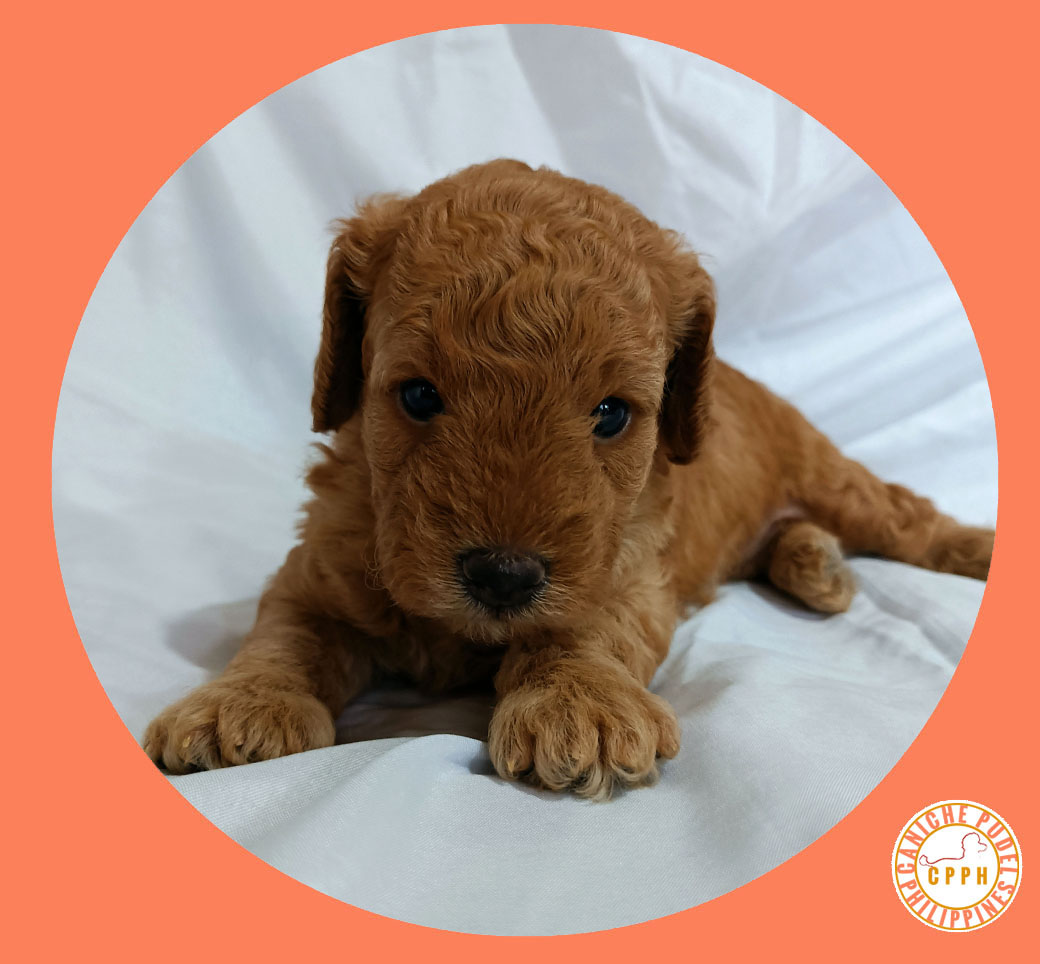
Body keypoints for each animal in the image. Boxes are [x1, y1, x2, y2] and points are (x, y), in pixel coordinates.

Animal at [143, 159, 993, 799]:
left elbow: (588, 626)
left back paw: (967, 549)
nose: (504, 576)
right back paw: (818, 568)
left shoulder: (626, 570)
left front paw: (577, 705)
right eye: (417, 396)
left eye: (611, 414)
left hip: (830, 474)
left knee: (905, 515)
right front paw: (237, 704)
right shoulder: (317, 568)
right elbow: (286, 633)